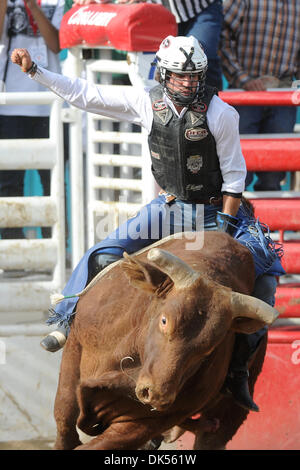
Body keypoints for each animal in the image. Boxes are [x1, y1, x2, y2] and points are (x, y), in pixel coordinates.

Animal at [53, 232, 278, 452]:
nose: (157, 395)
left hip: (230, 411)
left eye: (209, 348)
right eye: (164, 320)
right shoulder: (75, 346)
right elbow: (64, 413)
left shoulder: (154, 419)